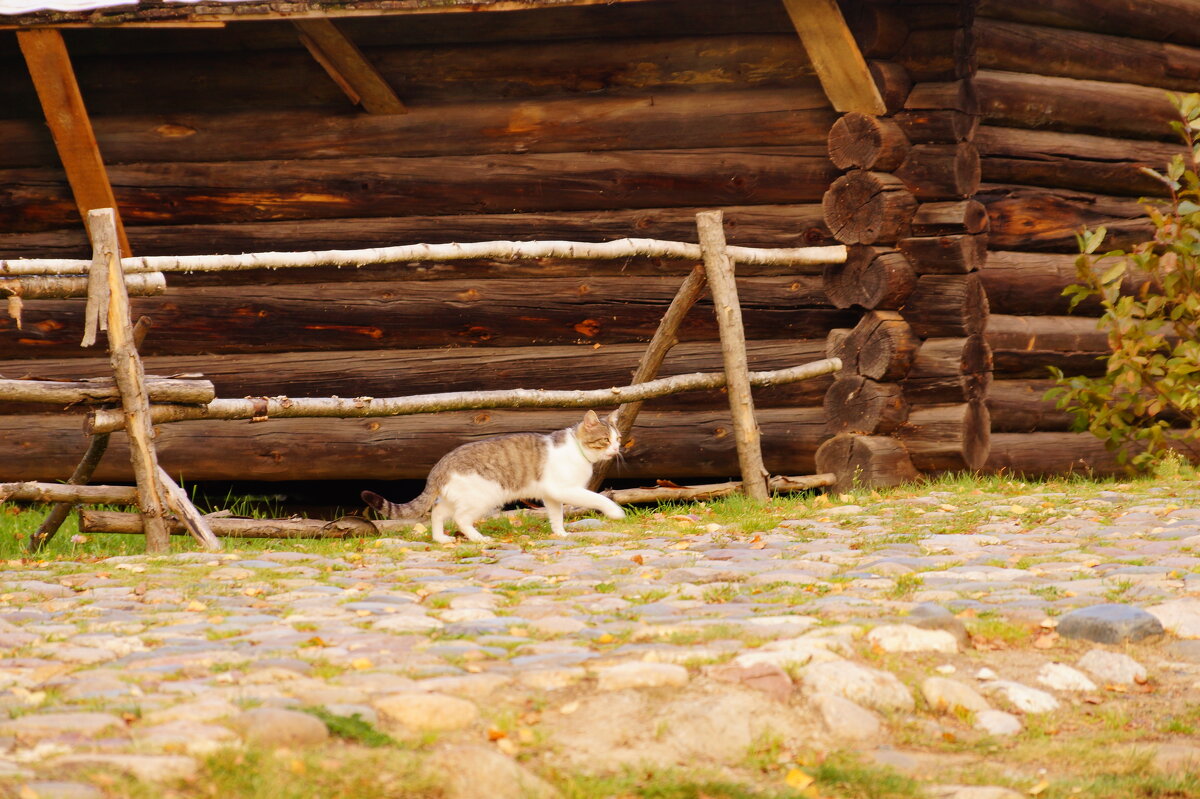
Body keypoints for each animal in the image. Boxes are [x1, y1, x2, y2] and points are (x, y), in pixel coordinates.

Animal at [362, 407, 628, 544]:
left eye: (618, 438)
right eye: (605, 440)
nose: (616, 449)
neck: (579, 451)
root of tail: (441, 464)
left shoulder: (552, 495)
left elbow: (556, 516)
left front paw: (560, 533)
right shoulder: (566, 489)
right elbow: (598, 498)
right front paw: (616, 512)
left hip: (457, 497)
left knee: (437, 512)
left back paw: (440, 539)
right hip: (483, 498)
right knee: (460, 518)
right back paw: (479, 538)